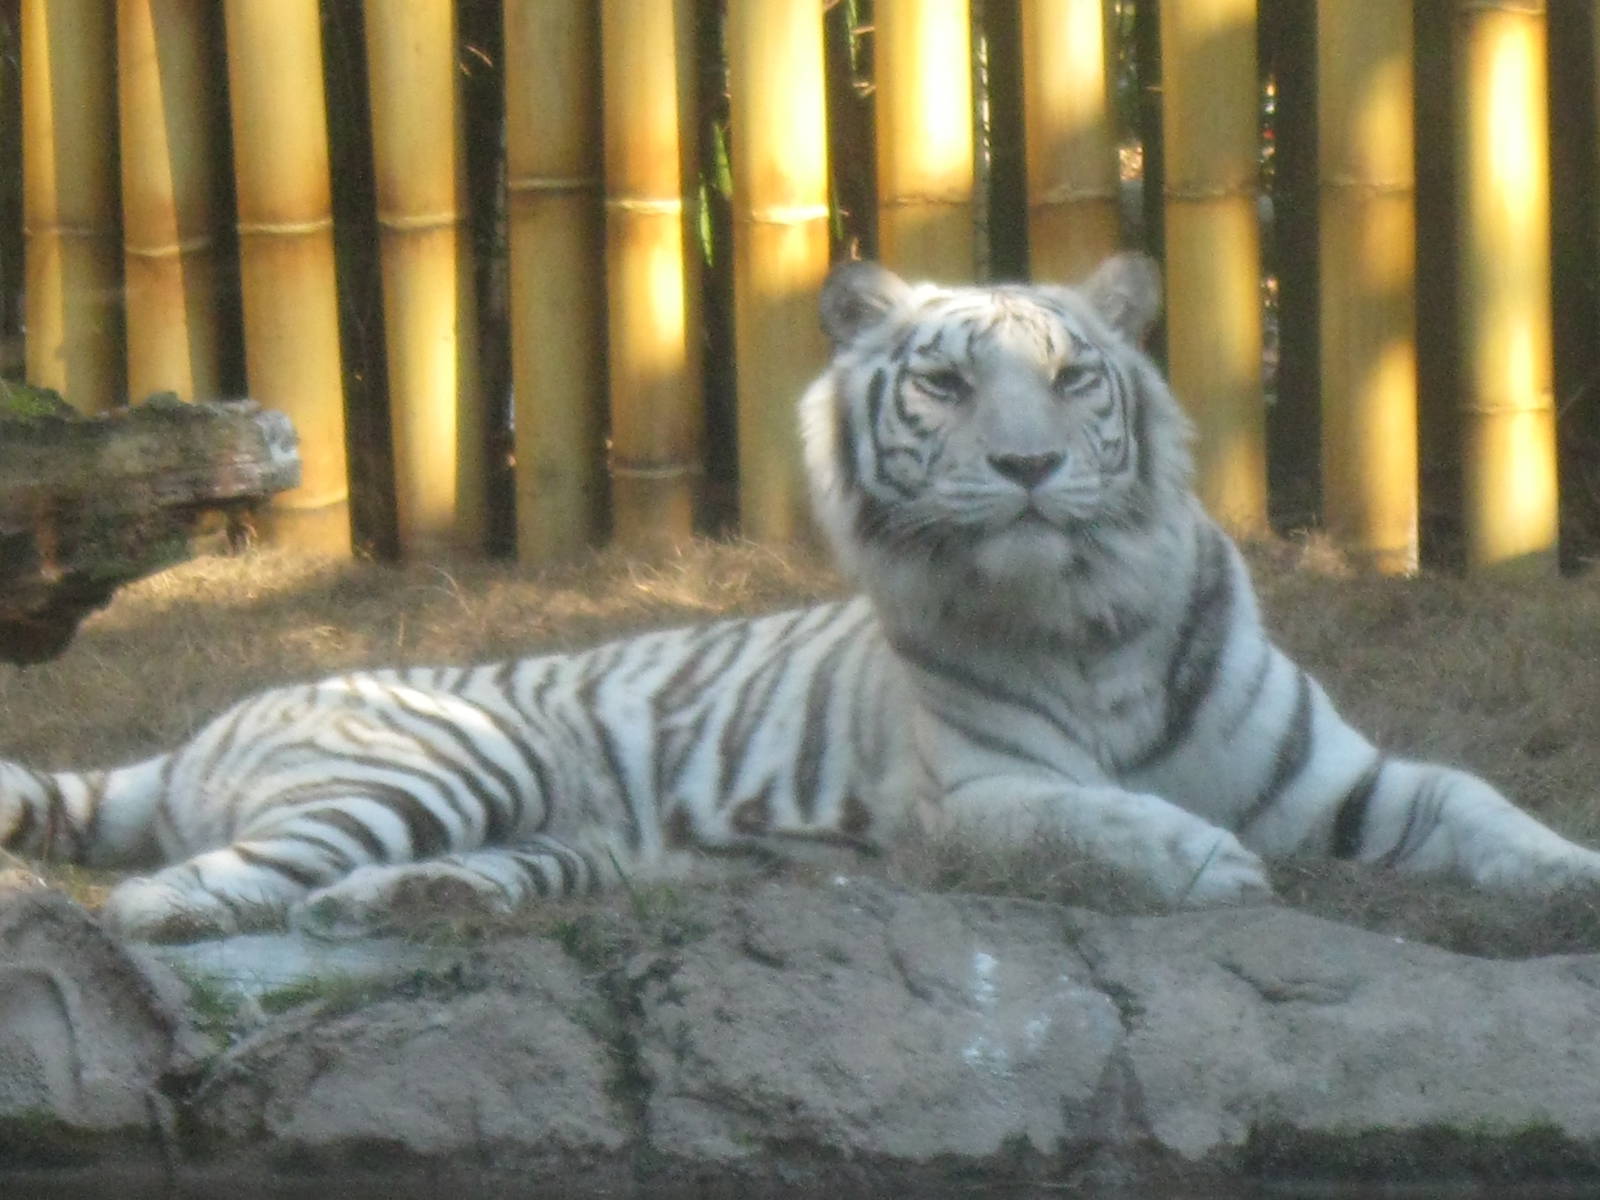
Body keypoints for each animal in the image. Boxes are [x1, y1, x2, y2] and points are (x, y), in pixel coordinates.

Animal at [5, 252, 1600, 942]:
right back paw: (188, 921)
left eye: (1072, 375)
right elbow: (1085, 820)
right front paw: (1199, 860)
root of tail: (204, 727)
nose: (1027, 466)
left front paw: (1572, 873)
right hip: (443, 758)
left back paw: (418, 905)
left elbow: (1477, 804)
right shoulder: (964, 803)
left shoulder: (1335, 774)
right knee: (170, 888)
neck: (1094, 615)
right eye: (947, 381)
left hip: (556, 840)